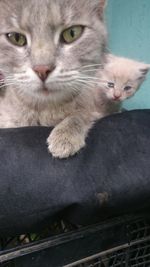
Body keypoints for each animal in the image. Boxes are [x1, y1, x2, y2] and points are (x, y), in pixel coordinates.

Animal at [0, 0, 108, 158]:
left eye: (72, 33)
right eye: (16, 37)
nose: (42, 69)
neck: (46, 109)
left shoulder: (93, 107)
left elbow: (81, 114)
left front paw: (65, 134)